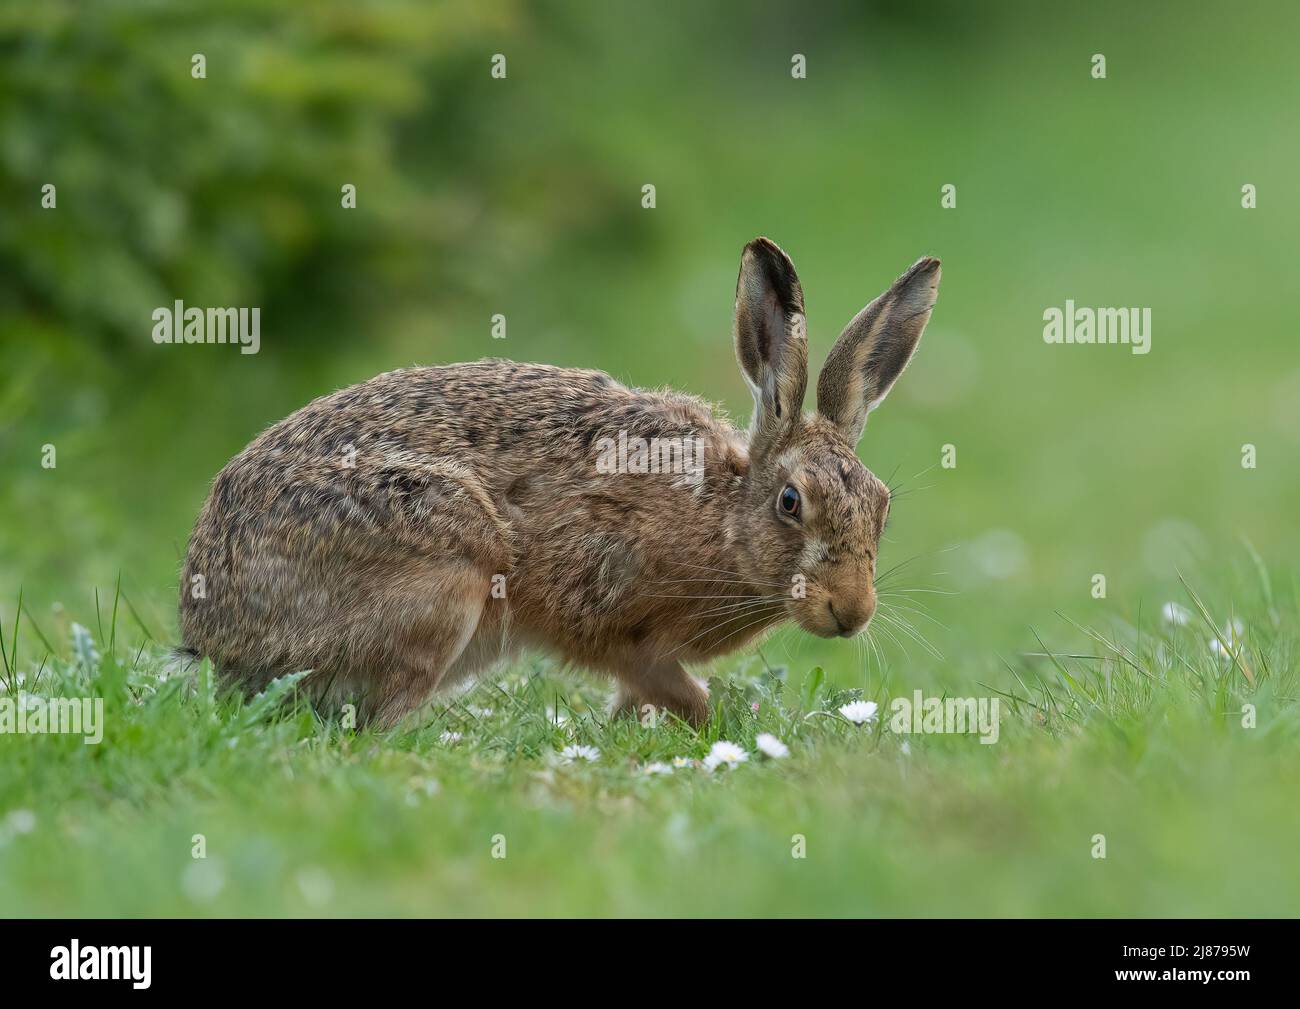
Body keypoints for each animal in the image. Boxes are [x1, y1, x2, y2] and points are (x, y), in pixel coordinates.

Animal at [179, 237, 940, 728]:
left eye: (882, 509)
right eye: (791, 502)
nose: (852, 610)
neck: (721, 518)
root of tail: (212, 629)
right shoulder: (610, 621)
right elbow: (673, 688)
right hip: (448, 572)